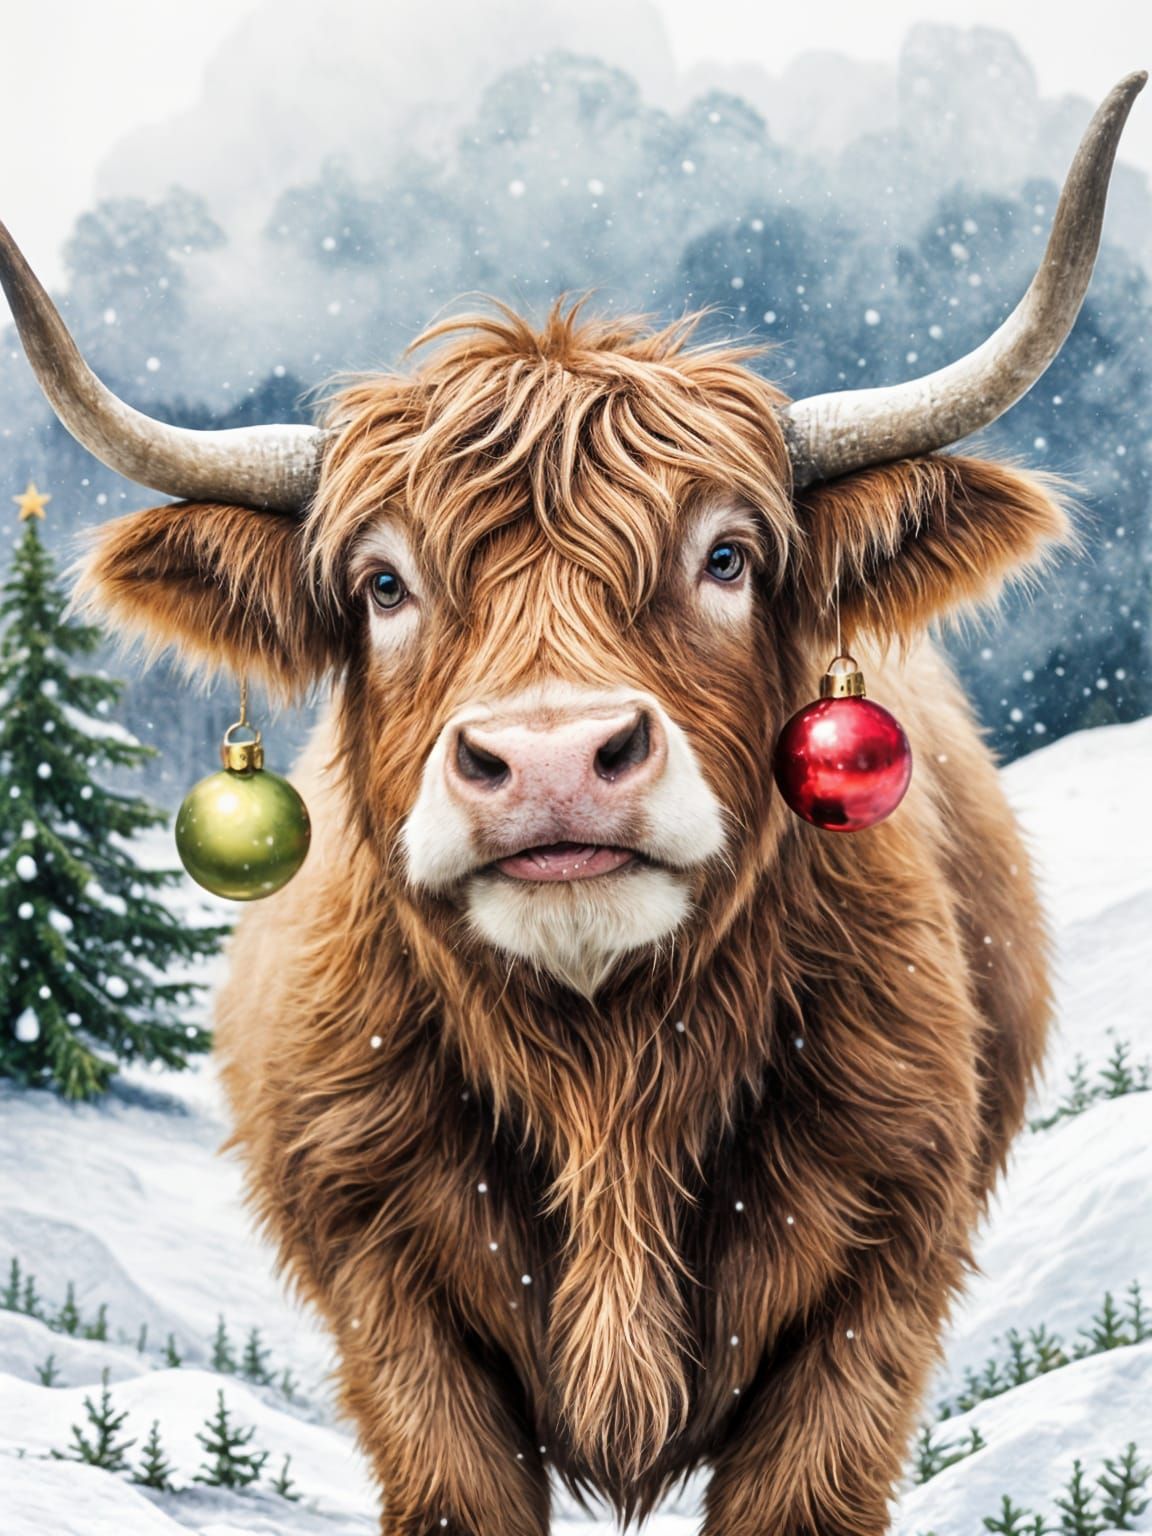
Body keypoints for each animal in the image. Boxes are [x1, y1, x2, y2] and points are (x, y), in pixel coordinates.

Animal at [0, 71, 1143, 1536]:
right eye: (382, 584)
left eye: (727, 556)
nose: (550, 761)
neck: (605, 1078)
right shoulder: (383, 1287)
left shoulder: (884, 1275)